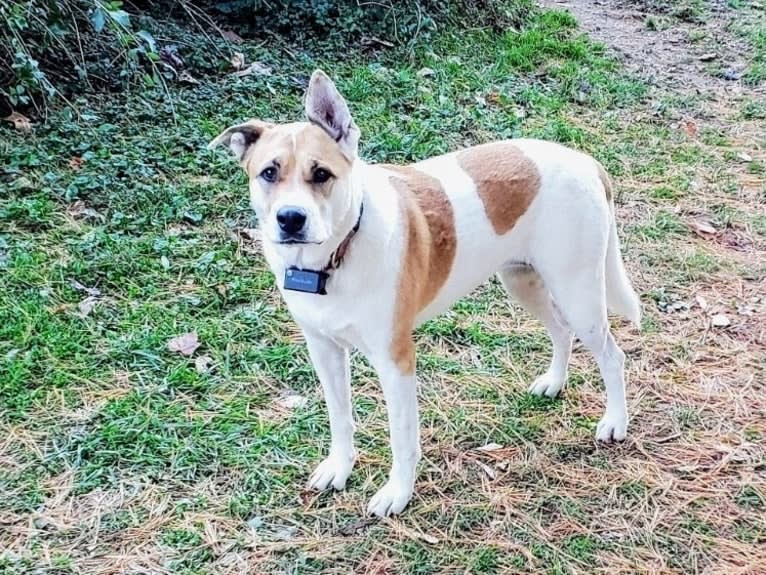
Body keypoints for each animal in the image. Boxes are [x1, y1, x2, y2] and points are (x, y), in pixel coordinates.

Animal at [210, 68, 640, 516]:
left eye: (322, 174)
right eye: (269, 173)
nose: (291, 218)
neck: (333, 258)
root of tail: (585, 160)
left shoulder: (395, 361)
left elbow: (402, 437)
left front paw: (397, 493)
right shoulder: (323, 350)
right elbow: (340, 417)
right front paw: (340, 467)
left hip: (578, 293)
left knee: (612, 357)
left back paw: (616, 421)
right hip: (523, 281)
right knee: (560, 330)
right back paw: (554, 382)